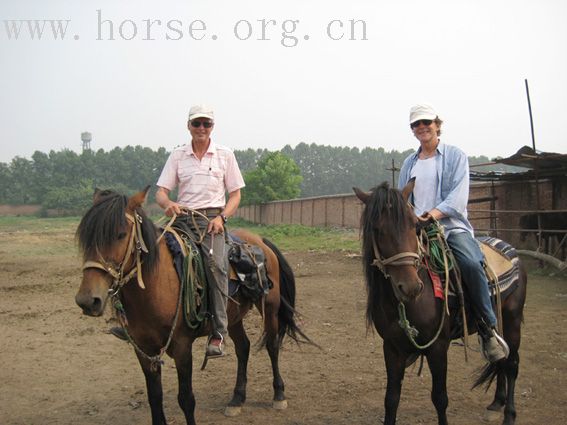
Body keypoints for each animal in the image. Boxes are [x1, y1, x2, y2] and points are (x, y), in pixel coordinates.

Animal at [74, 188, 310, 424]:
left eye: (121, 234)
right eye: (86, 238)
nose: (87, 300)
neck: (155, 287)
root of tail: (260, 240)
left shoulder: (182, 346)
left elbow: (186, 399)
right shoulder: (143, 349)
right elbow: (154, 397)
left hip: (269, 307)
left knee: (272, 345)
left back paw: (279, 395)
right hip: (232, 316)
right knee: (243, 347)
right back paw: (237, 399)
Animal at [356, 180, 528, 424]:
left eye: (414, 226)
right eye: (377, 230)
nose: (411, 287)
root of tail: (511, 251)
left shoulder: (438, 347)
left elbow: (439, 398)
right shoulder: (391, 348)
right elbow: (391, 398)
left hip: (513, 319)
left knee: (512, 363)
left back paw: (510, 414)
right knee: (500, 360)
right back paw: (497, 402)